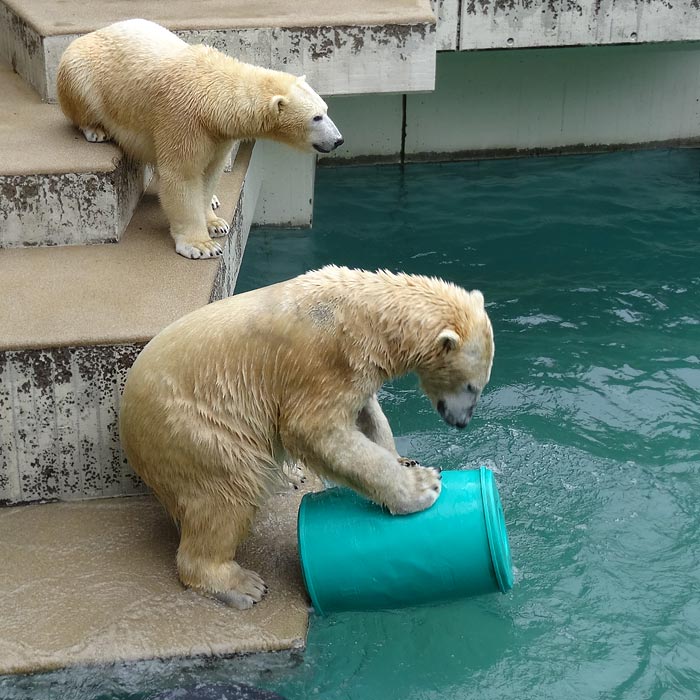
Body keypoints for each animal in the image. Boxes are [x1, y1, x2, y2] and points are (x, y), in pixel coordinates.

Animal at [56, 19, 344, 260]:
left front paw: (215, 223)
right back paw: (95, 130)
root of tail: (95, 31)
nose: (338, 140)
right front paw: (202, 246)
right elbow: (182, 176)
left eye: (326, 109)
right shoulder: (182, 119)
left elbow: (209, 173)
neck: (214, 94)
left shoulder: (218, 134)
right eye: (317, 117)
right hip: (82, 70)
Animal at [119, 266, 492, 608]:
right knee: (226, 490)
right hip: (196, 429)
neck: (363, 315)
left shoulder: (357, 369)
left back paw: (292, 477)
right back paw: (241, 585)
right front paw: (422, 486)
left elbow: (366, 413)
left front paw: (405, 459)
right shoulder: (324, 363)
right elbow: (313, 431)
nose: (461, 422)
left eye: (480, 385)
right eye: (471, 386)